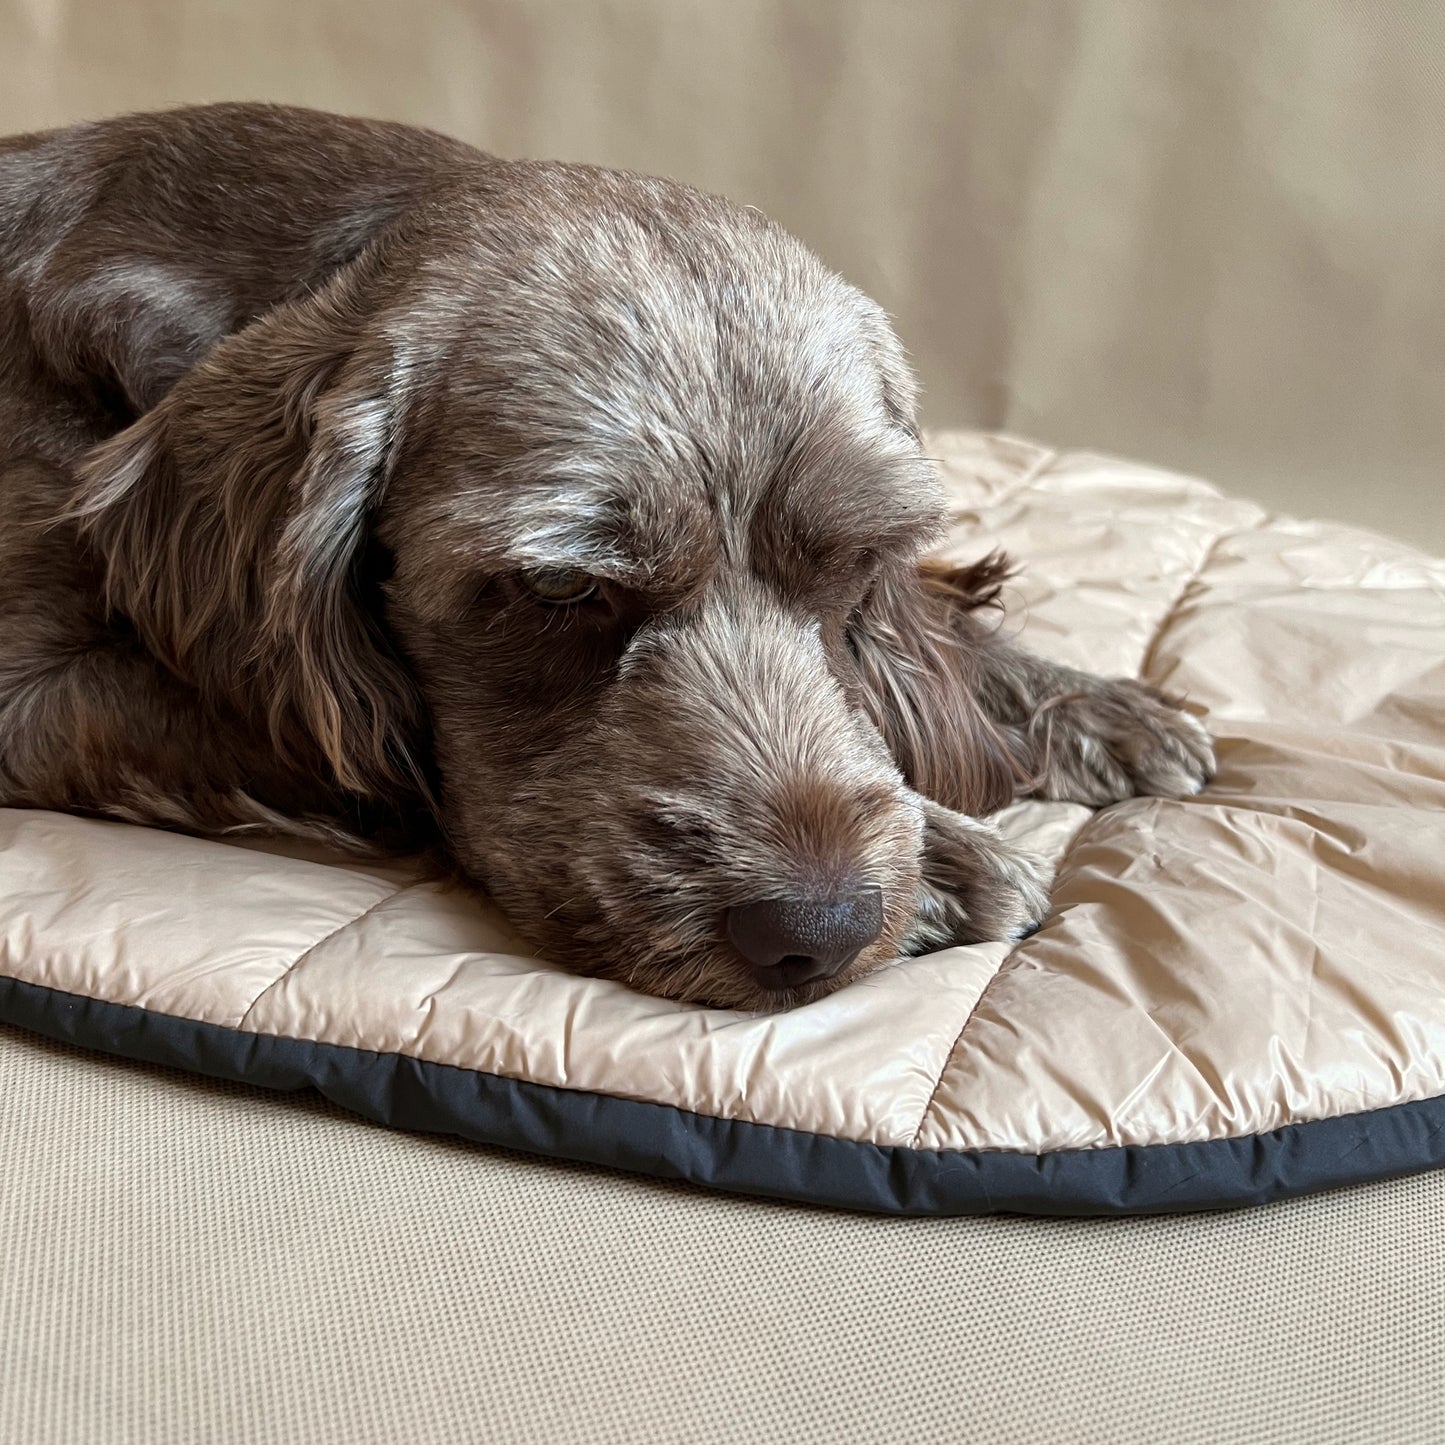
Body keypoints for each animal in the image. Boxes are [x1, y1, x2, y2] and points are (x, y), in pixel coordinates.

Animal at [0, 104, 1208, 1005]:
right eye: (561, 587)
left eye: (849, 564)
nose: (816, 926)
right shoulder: (37, 698)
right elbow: (366, 751)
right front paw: (952, 857)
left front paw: (1084, 701)